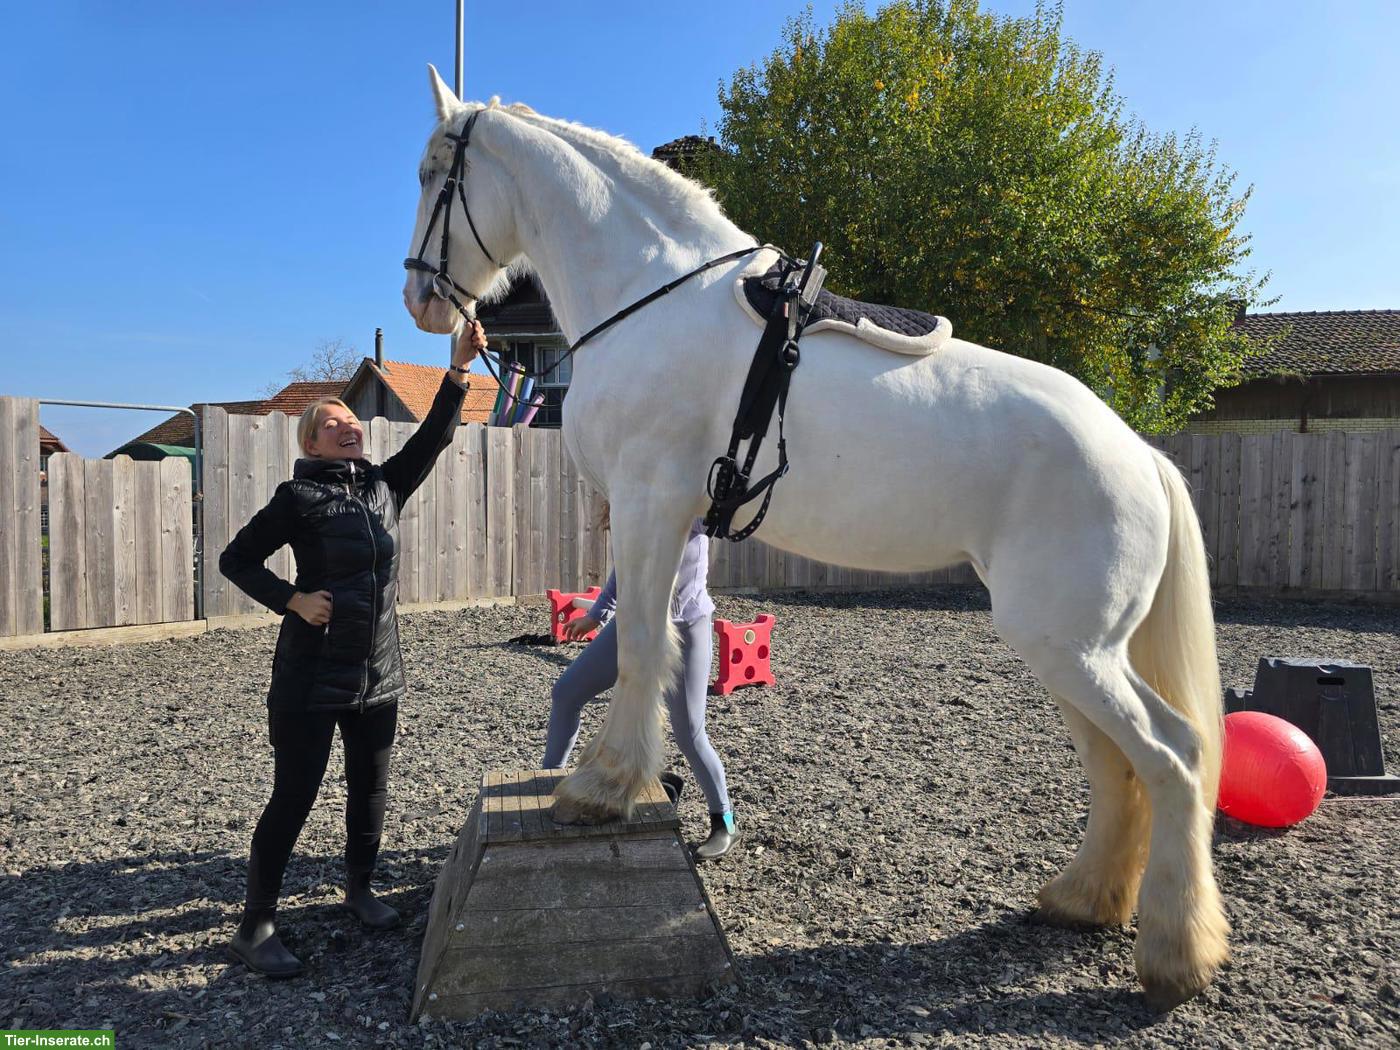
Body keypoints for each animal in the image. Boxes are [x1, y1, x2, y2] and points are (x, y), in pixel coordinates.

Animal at [400, 66, 1228, 1010]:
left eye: (433, 175)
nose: (420, 298)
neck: (648, 293)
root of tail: (1138, 454)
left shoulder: (650, 506)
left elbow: (643, 644)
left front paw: (604, 787)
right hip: (1070, 651)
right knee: (1118, 767)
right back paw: (1085, 899)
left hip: (1071, 648)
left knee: (1174, 758)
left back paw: (1175, 954)